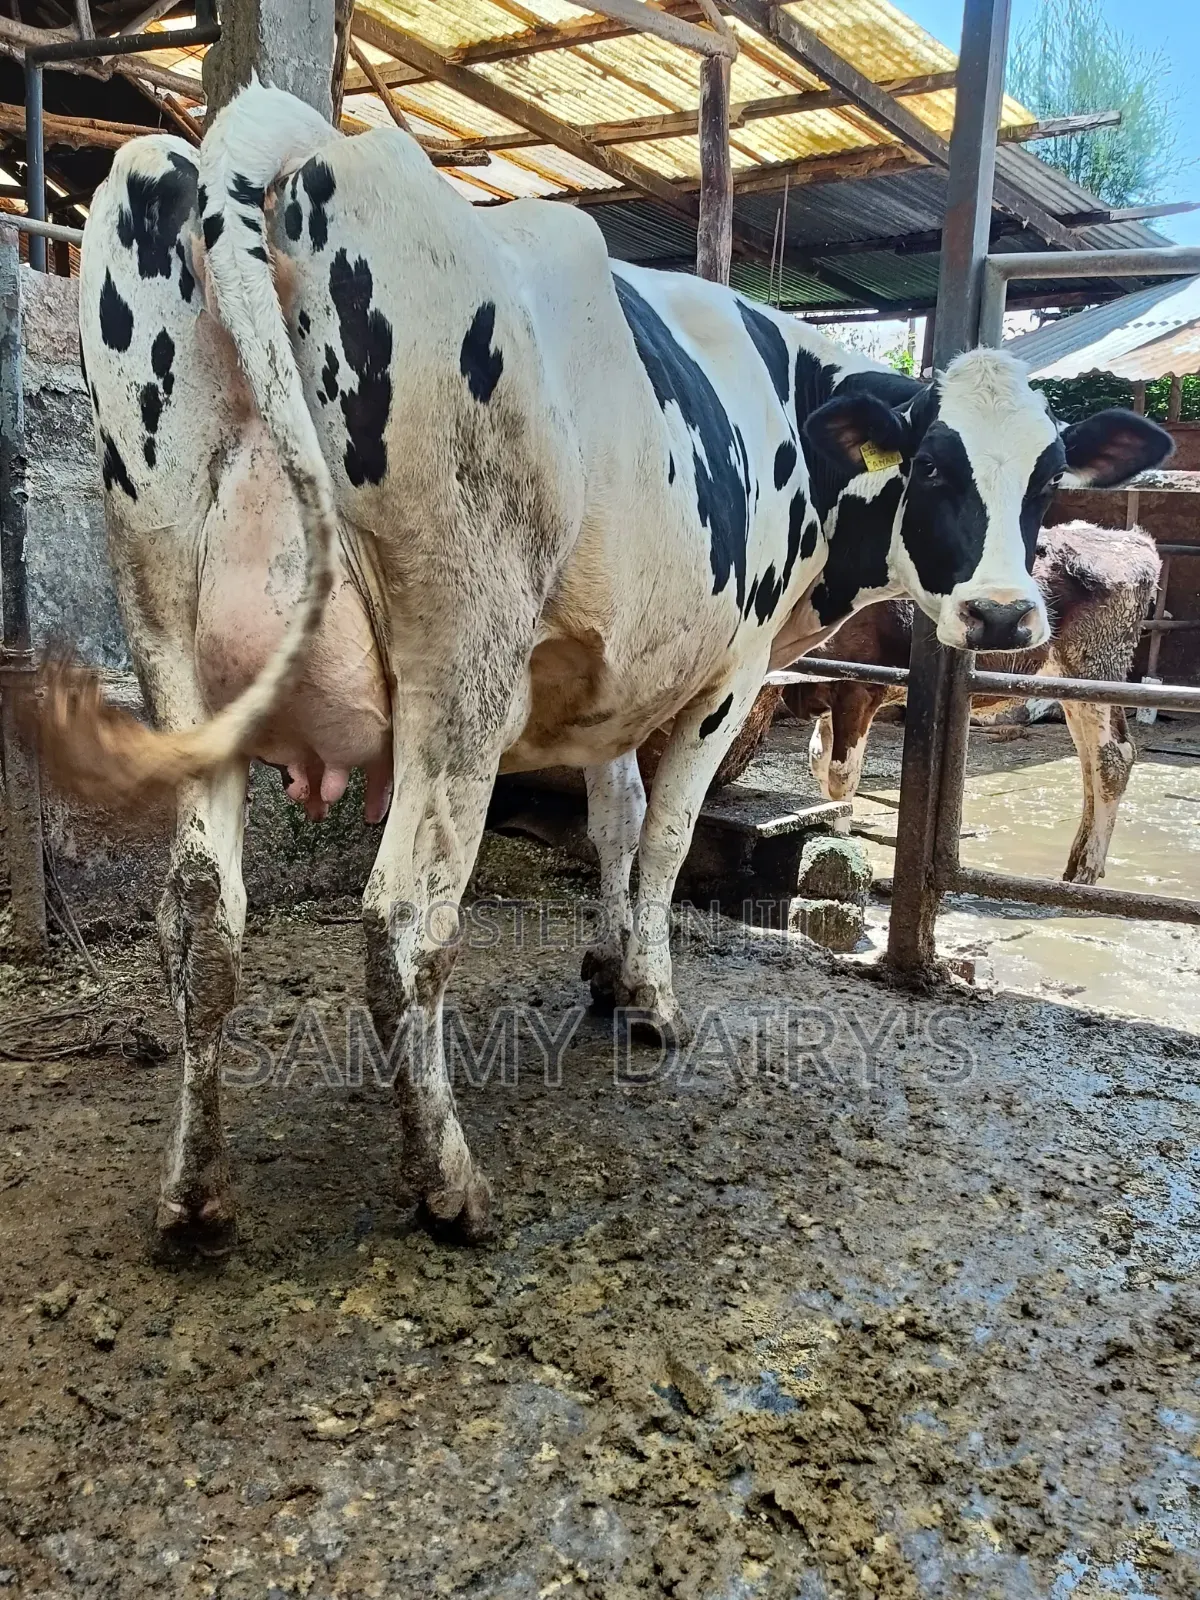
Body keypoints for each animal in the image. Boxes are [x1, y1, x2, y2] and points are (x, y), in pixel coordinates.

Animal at [787, 521, 1162, 883]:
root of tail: (1130, 541)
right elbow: (818, 760)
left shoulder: (859, 688)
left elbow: (841, 775)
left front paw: (839, 845)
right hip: (1072, 686)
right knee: (1090, 760)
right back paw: (1075, 865)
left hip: (1097, 664)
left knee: (1112, 757)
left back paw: (1085, 871)